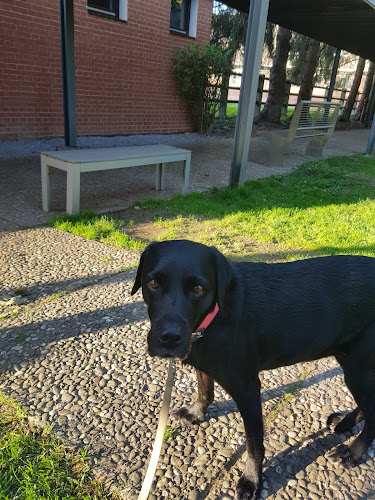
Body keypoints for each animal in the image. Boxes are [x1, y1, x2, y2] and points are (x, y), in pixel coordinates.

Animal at [131, 240, 375, 498]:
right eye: (153, 283)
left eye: (198, 288)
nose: (169, 338)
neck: (214, 315)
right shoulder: (204, 362)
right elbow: (205, 391)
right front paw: (195, 414)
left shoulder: (247, 389)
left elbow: (254, 444)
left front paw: (251, 480)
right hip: (353, 364)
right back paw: (345, 422)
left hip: (359, 369)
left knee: (373, 415)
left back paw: (351, 453)